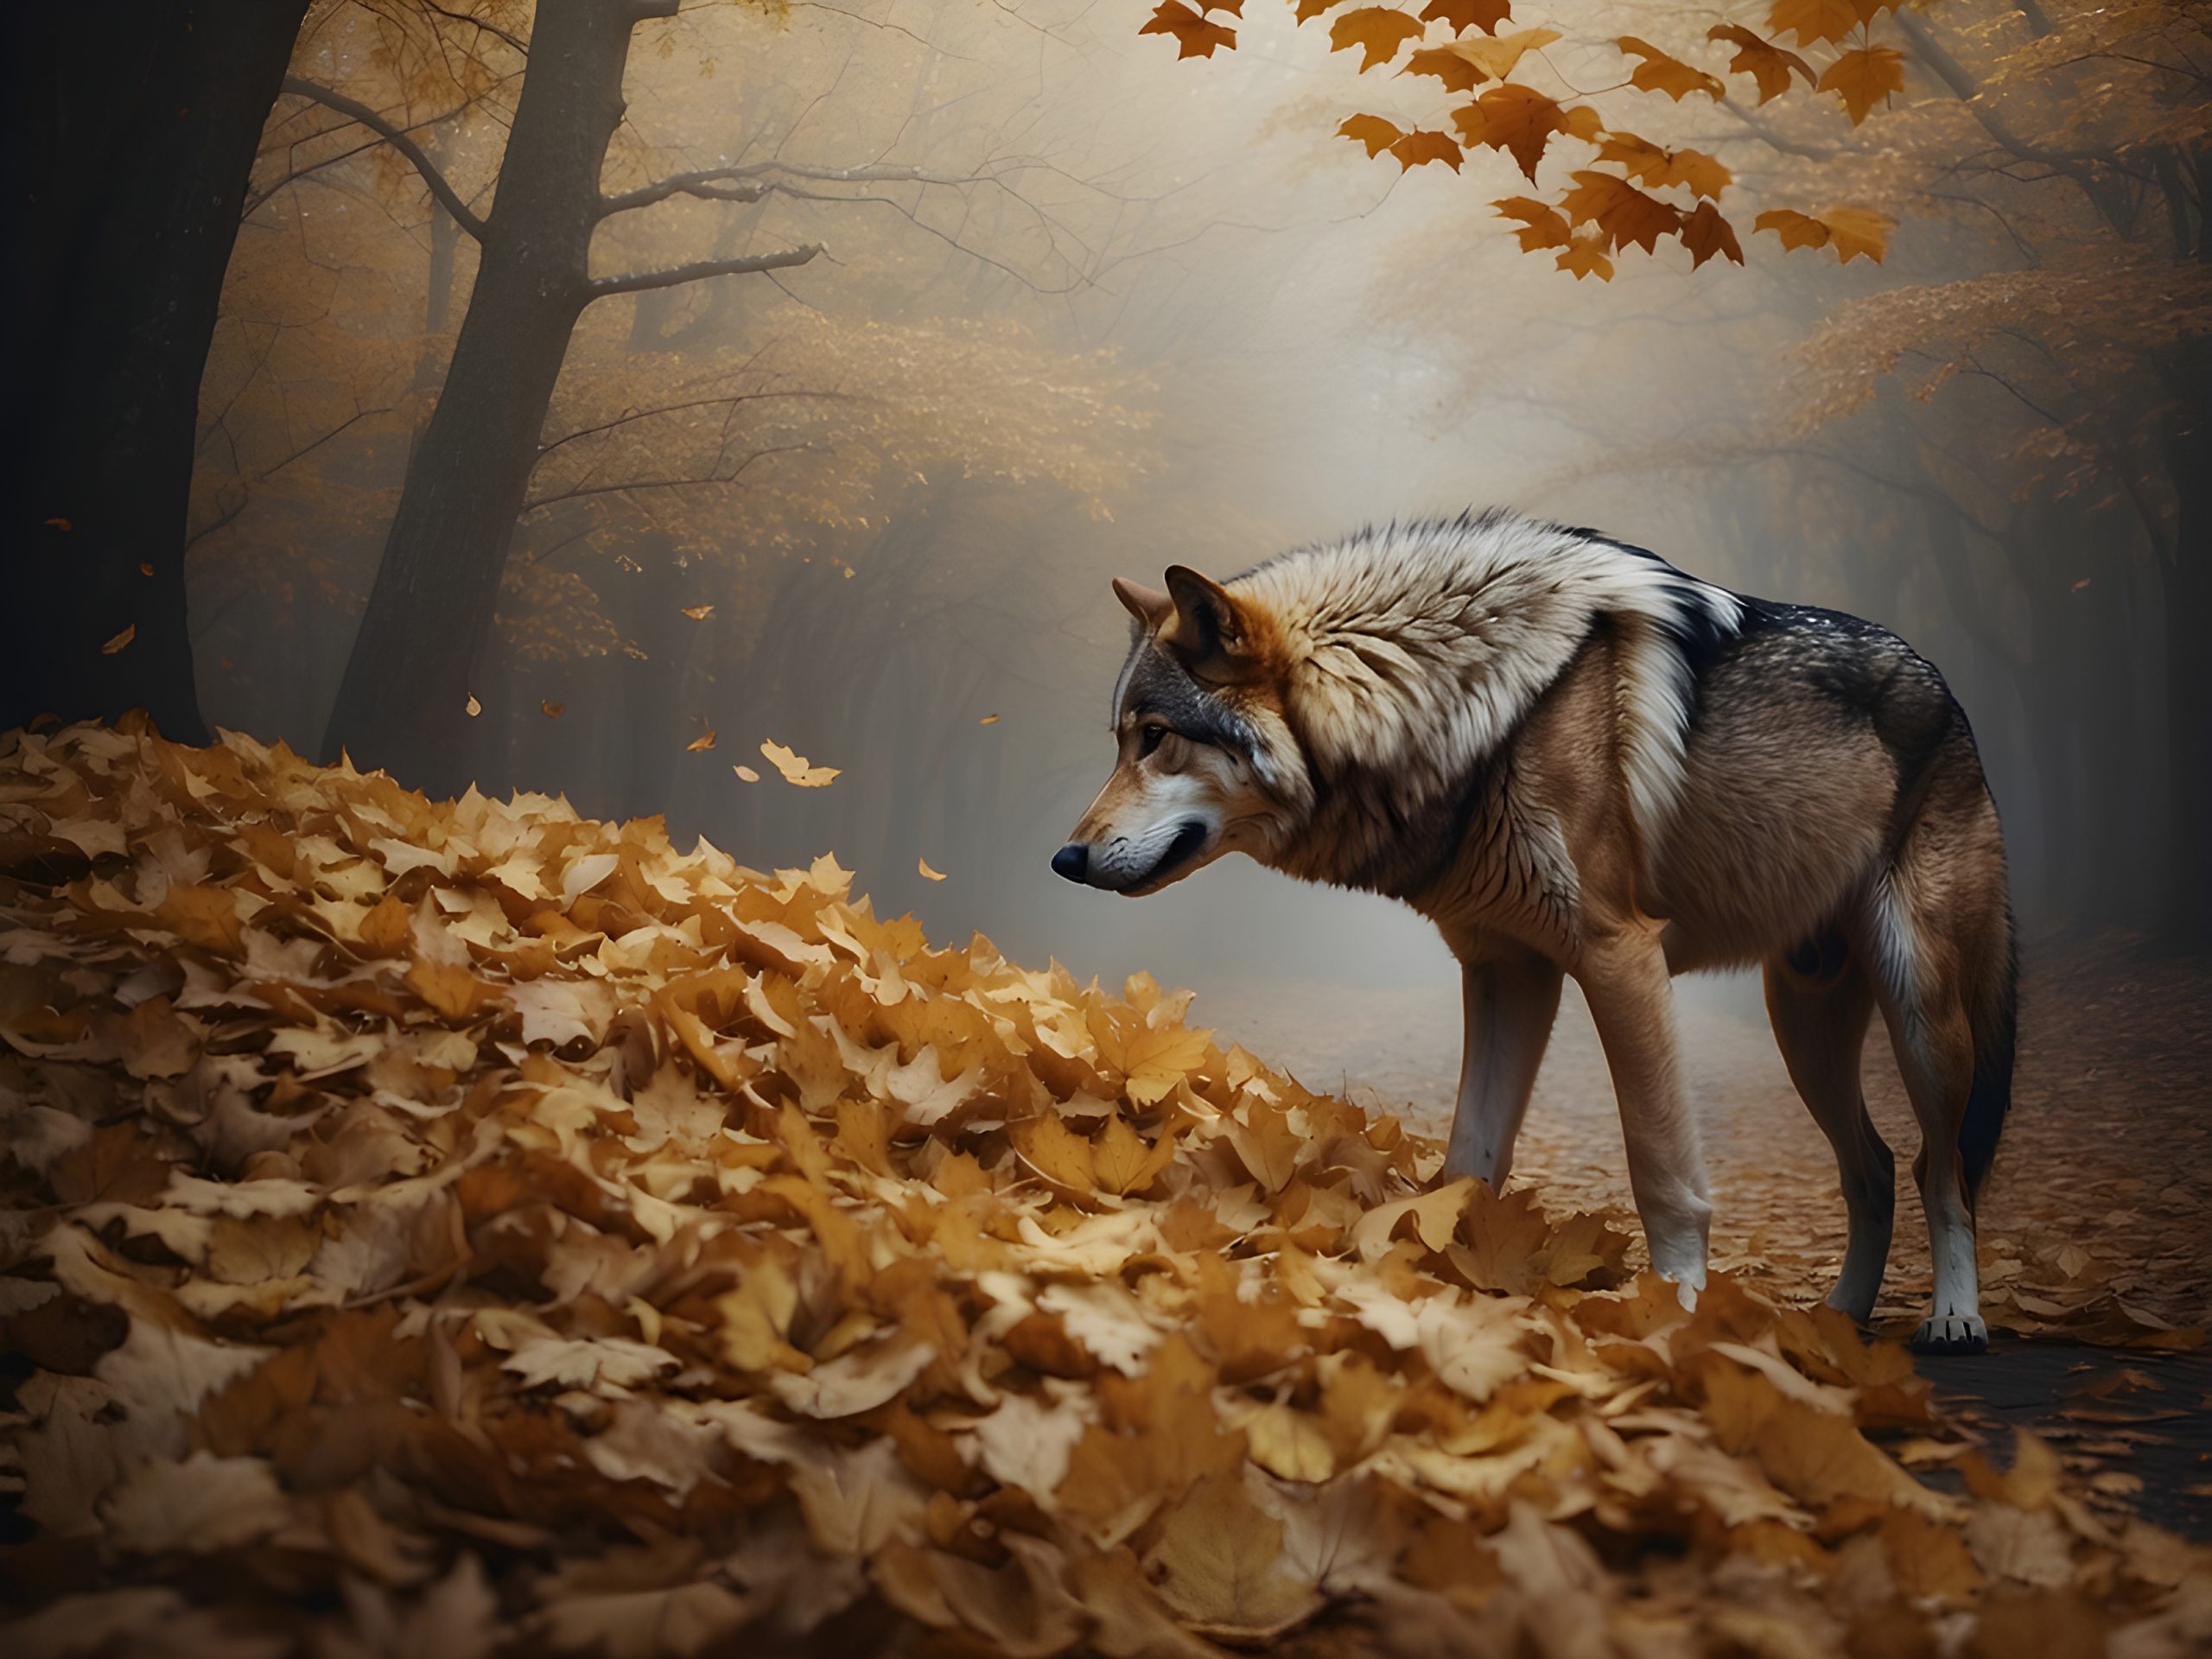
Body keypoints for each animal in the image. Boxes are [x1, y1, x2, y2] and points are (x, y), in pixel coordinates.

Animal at [1053, 510, 2015, 1354]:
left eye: (1156, 737)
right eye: (1118, 740)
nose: (1064, 859)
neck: (1476, 717)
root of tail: (1952, 695)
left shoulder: (1621, 958)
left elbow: (1661, 1173)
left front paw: (1676, 1318)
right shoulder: (1506, 970)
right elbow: (1469, 1159)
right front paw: (1438, 1284)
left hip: (1919, 1013)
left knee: (1941, 1169)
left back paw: (1953, 1320)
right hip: (1804, 1025)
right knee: (1876, 1167)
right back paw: (1838, 1320)